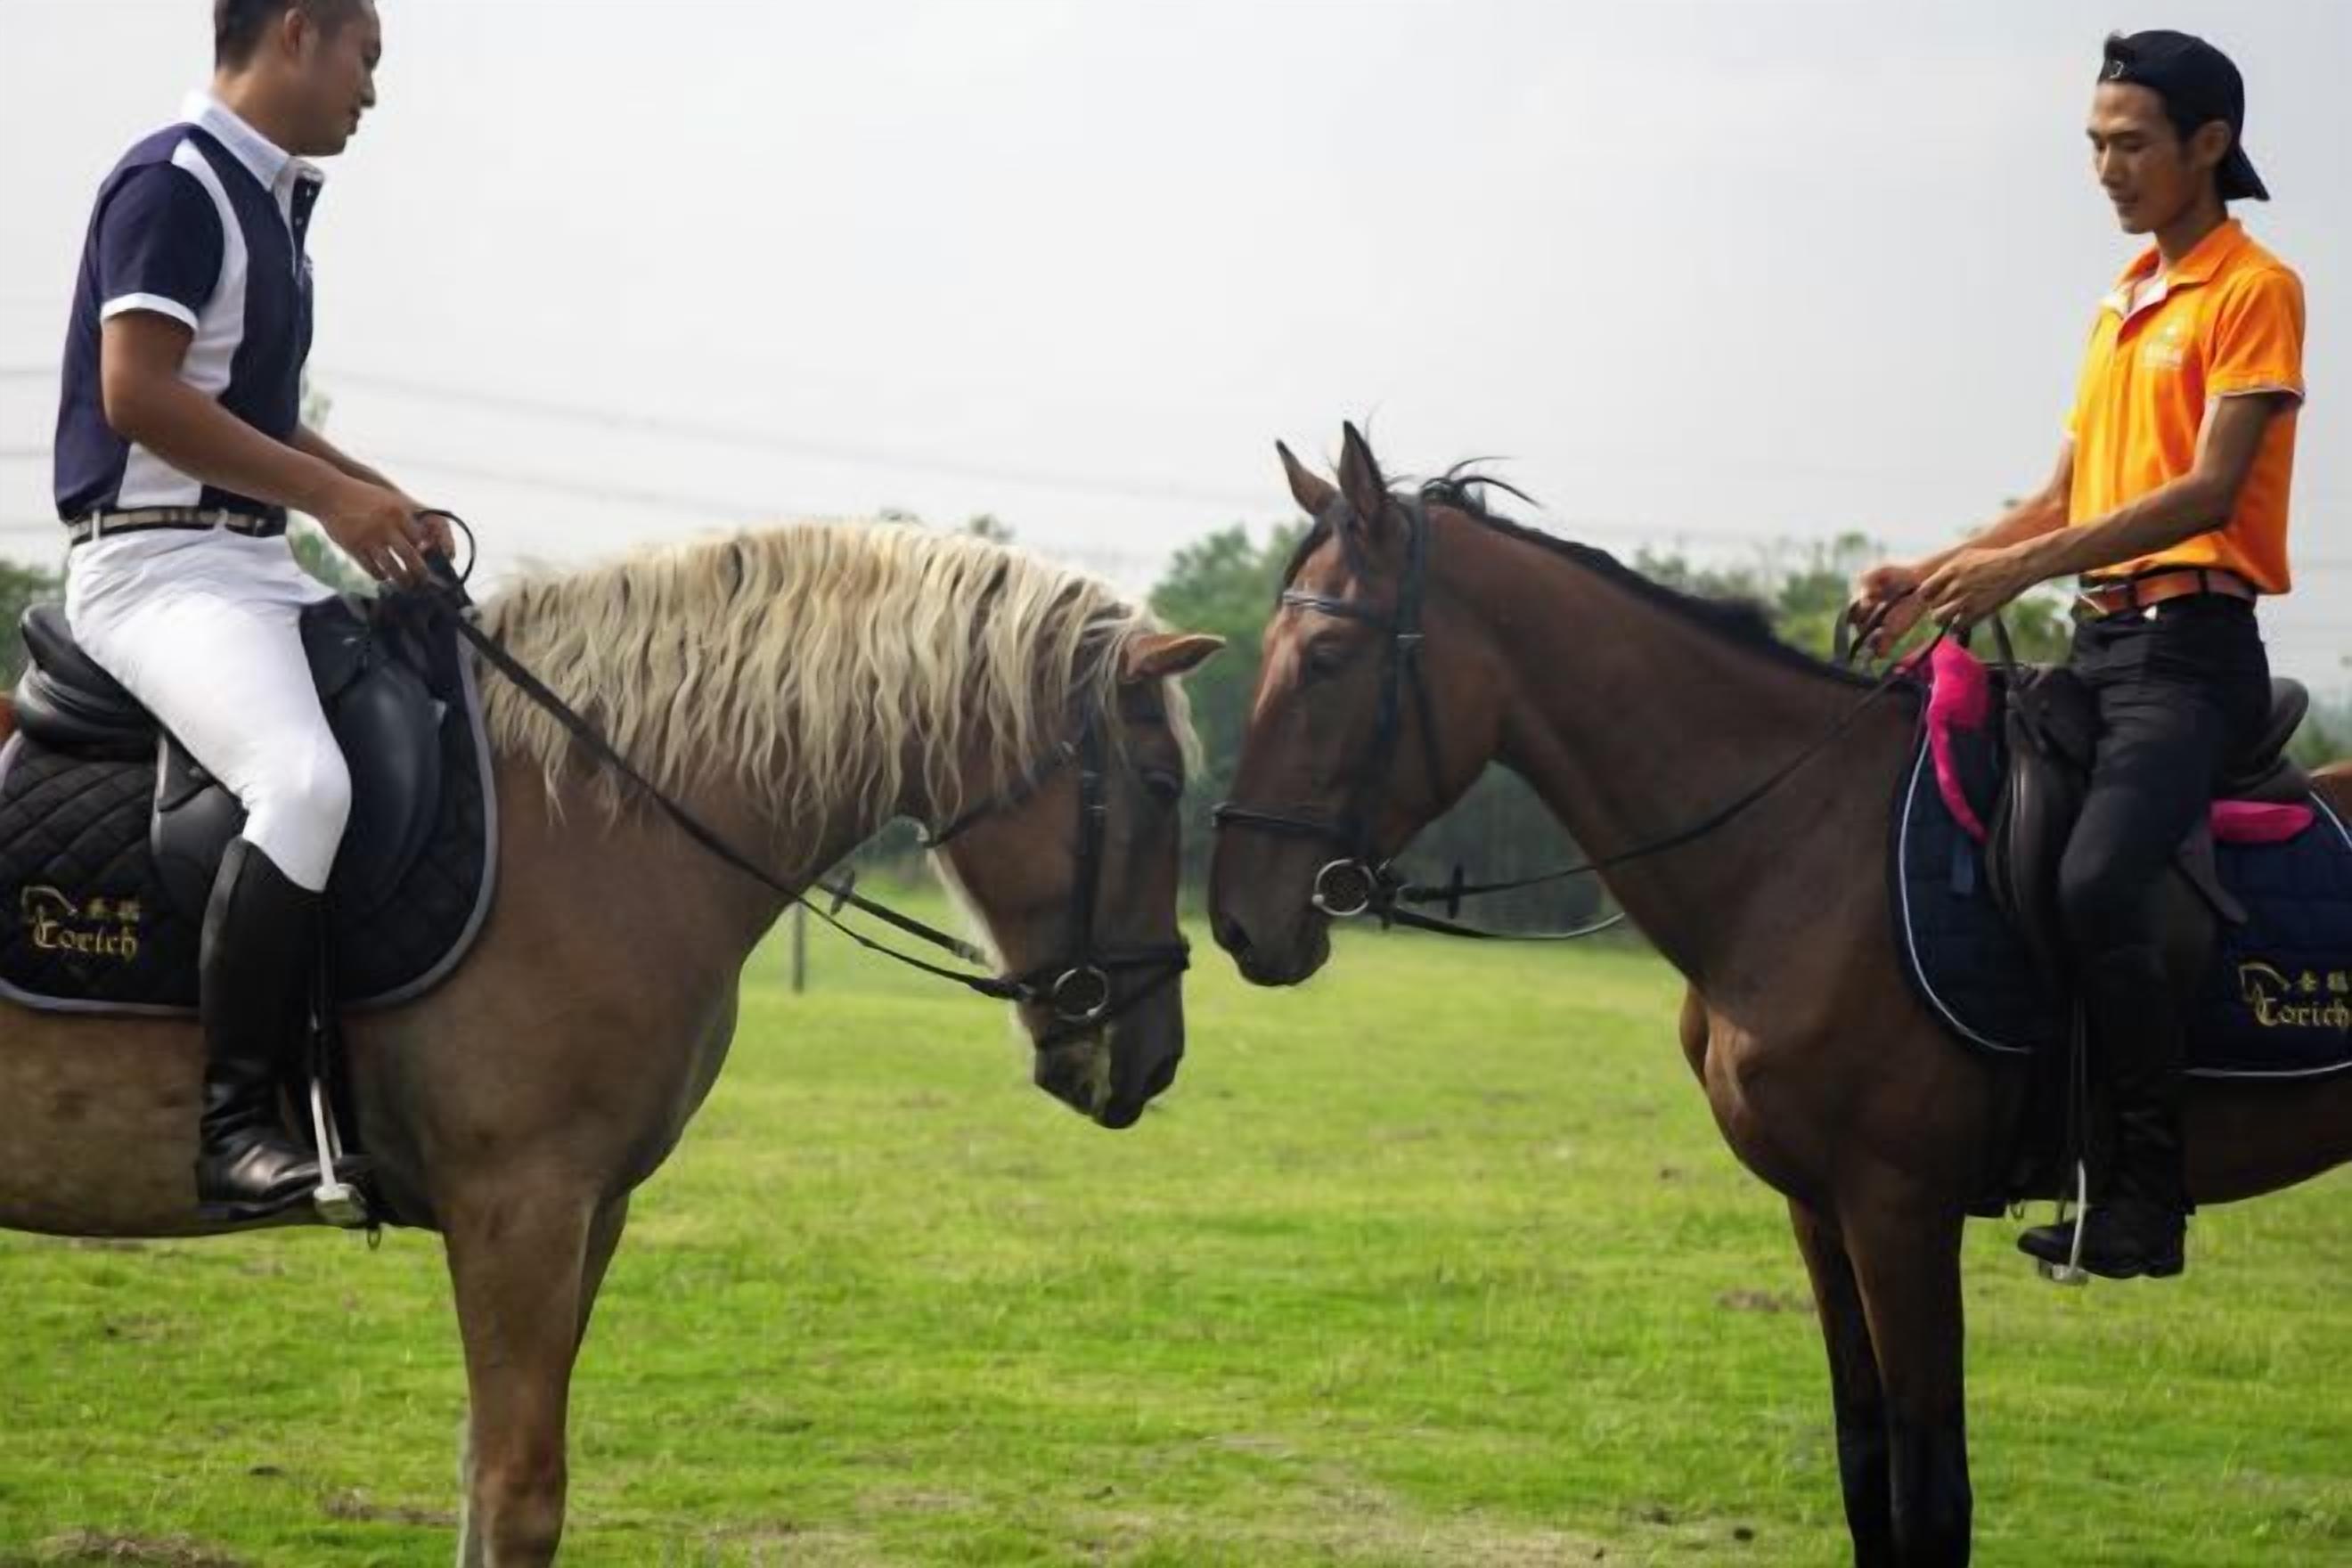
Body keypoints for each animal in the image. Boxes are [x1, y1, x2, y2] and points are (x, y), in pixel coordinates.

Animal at [0, 520, 1221, 1566]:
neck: (597, 812)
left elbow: (483, 1477)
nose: (1154, 1060)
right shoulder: (520, 1207)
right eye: (1163, 784)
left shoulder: (591, 1209)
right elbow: (519, 1492)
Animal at [1207, 424, 2351, 1568]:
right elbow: (1866, 1467)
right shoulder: (1821, 1206)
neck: (1800, 841)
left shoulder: (1901, 1207)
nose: (1237, 920)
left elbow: (1932, 1497)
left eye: (1325, 660)